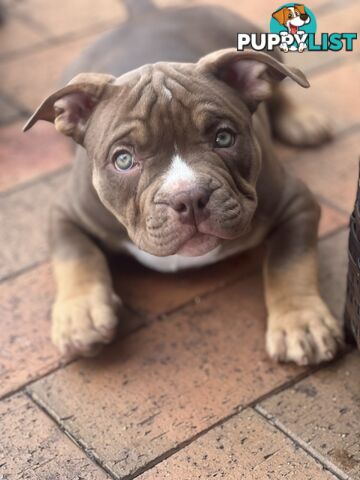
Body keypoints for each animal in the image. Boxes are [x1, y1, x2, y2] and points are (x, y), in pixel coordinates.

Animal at [23, 0, 342, 364]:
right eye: (123, 160)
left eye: (223, 138)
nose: (189, 197)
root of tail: (146, 14)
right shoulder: (66, 211)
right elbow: (75, 255)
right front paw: (81, 316)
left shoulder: (296, 202)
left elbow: (289, 259)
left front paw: (301, 322)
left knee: (276, 85)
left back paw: (302, 120)